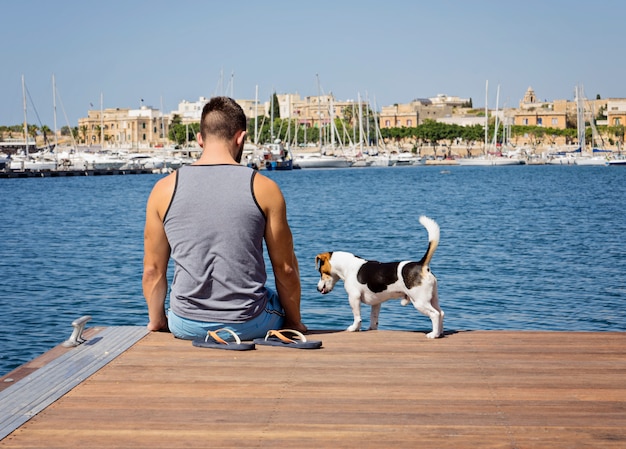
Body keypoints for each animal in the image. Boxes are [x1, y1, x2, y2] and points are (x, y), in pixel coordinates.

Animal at [314, 215, 442, 338]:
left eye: (320, 271)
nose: (318, 288)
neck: (348, 265)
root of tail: (421, 264)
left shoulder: (353, 297)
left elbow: (357, 317)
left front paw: (354, 328)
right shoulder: (376, 302)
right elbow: (374, 318)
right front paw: (371, 329)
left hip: (420, 301)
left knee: (435, 314)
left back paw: (433, 335)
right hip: (433, 298)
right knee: (441, 313)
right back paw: (439, 333)